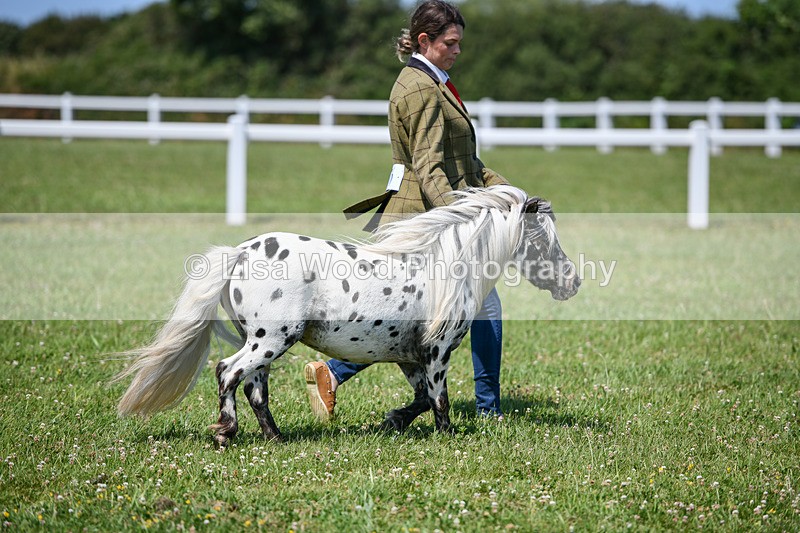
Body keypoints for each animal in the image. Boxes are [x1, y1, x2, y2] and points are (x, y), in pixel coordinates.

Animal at [115, 185, 580, 446]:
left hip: (263, 341)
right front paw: (447, 438)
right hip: (270, 339)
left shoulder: (409, 357)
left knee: (255, 389)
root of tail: (240, 253)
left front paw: (393, 421)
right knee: (228, 372)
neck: (443, 268)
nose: (572, 282)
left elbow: (419, 399)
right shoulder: (437, 352)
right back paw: (225, 433)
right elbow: (439, 400)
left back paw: (276, 438)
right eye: (545, 242)